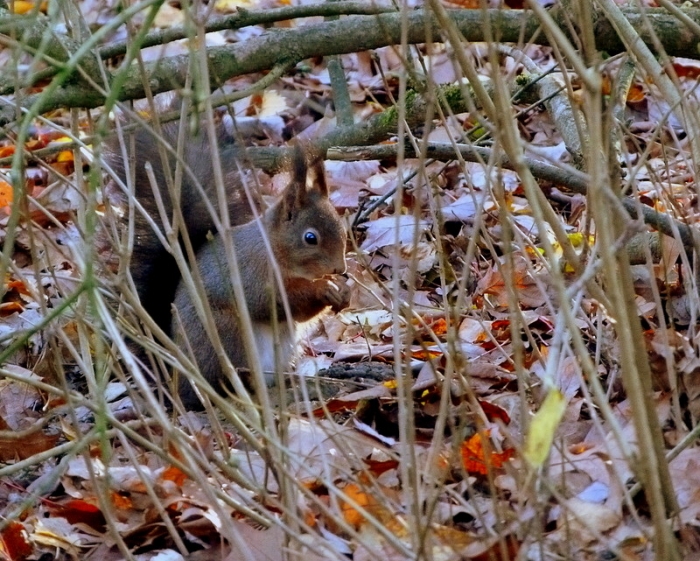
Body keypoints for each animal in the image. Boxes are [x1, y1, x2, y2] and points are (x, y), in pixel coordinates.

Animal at [104, 120, 349, 409]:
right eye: (310, 238)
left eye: (342, 229)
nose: (340, 269)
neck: (275, 249)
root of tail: (180, 376)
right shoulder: (250, 273)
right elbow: (275, 302)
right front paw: (324, 288)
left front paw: (343, 292)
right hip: (227, 336)